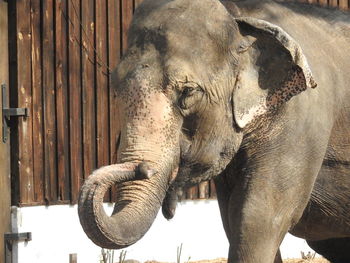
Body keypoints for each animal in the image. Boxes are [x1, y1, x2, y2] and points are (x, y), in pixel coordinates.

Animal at [78, 1, 350, 262]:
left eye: (188, 91)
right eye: (115, 90)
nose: (143, 168)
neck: (241, 17)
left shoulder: (303, 119)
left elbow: (258, 216)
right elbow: (231, 216)